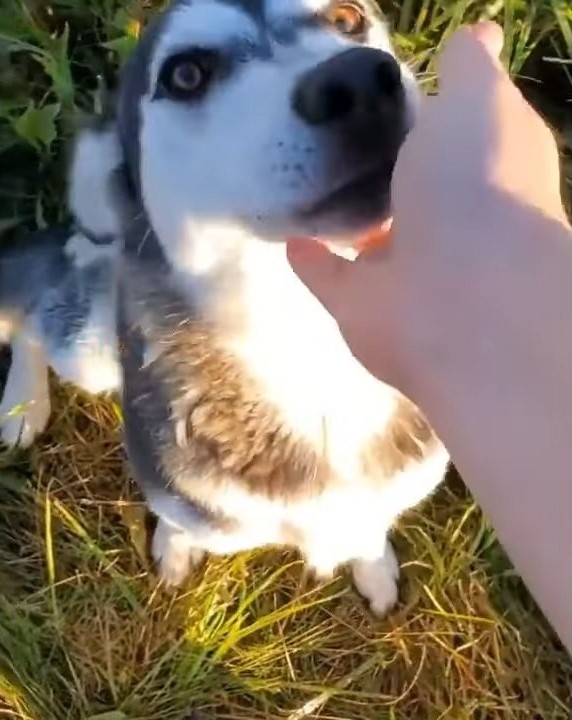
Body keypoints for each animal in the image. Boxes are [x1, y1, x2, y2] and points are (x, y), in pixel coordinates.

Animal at [0, 1, 450, 620]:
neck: (316, 357)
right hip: (93, 345)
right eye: (186, 74)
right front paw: (175, 548)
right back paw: (21, 405)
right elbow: (178, 521)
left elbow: (369, 526)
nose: (361, 82)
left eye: (348, 17)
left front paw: (373, 564)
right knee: (35, 300)